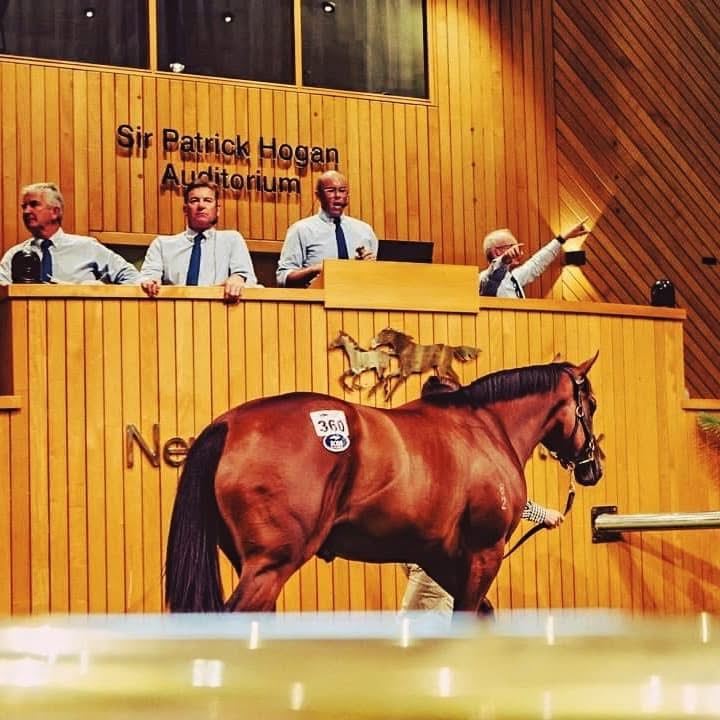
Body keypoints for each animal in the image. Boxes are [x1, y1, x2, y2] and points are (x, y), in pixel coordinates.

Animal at [165, 354, 602, 615]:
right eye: (592, 406)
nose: (594, 467)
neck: (485, 428)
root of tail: (228, 424)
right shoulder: (484, 554)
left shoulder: (441, 560)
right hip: (271, 566)